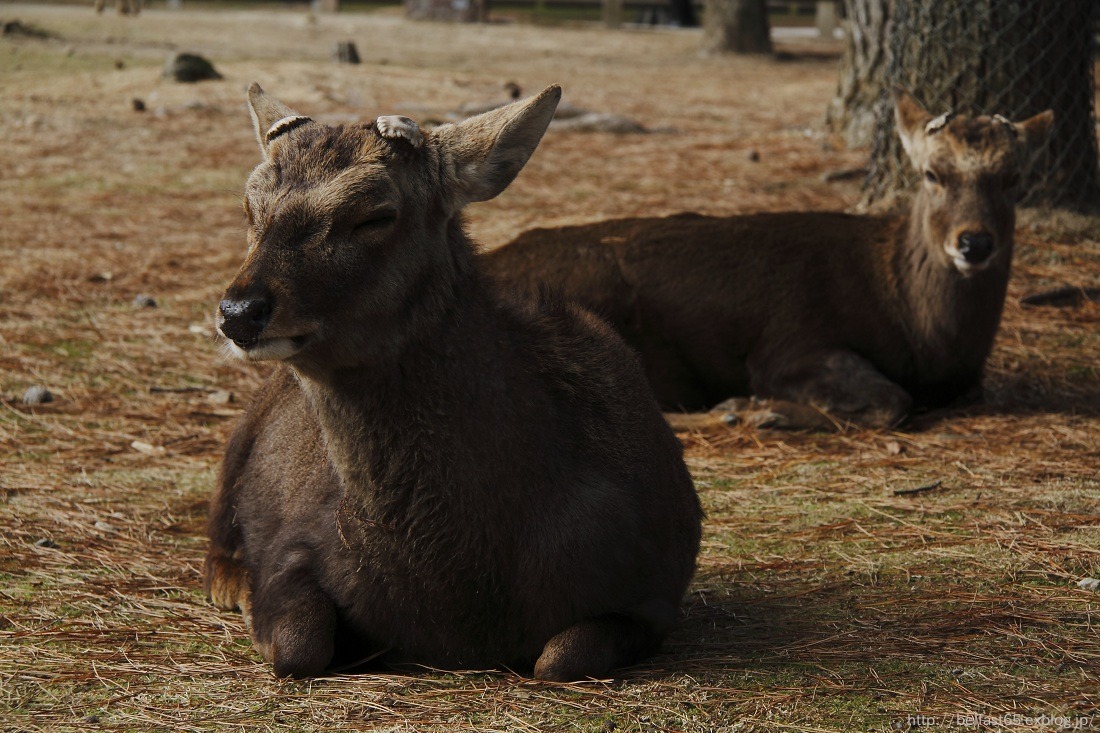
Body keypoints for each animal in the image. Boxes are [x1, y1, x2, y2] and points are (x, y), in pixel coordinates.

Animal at [204, 82, 704, 677]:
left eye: (374, 215)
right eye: (249, 207)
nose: (238, 312)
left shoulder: (655, 588)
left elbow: (557, 658)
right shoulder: (290, 547)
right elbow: (297, 645)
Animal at [486, 94, 1051, 431]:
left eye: (1013, 178)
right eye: (933, 174)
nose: (974, 243)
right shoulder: (788, 344)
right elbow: (890, 400)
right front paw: (765, 410)